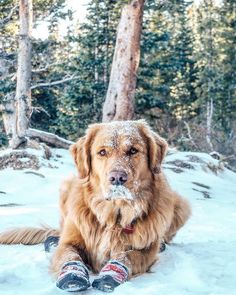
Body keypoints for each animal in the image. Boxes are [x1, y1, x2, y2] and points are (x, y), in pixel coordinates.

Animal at [0, 121, 190, 294]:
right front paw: (72, 275)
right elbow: (69, 255)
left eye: (133, 150)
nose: (117, 178)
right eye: (102, 152)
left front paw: (110, 275)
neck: (115, 215)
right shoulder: (69, 242)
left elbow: (126, 256)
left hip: (180, 204)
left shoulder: (146, 251)